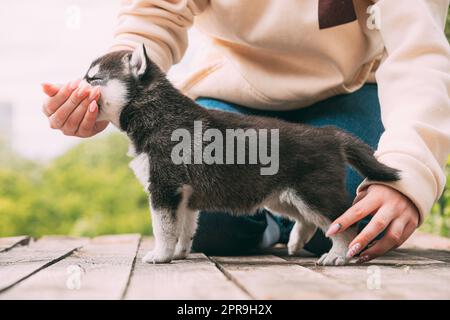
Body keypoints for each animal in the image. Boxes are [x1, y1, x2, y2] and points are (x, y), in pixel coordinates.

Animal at [82, 44, 400, 264]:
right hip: (283, 197)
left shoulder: (165, 189)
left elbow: (163, 228)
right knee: (308, 219)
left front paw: (160, 255)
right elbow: (184, 228)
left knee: (345, 222)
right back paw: (296, 242)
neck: (156, 111)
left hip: (314, 194)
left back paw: (339, 254)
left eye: (93, 79)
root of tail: (331, 134)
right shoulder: (184, 196)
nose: (76, 85)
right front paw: (181, 252)